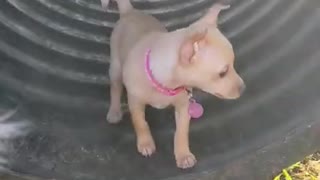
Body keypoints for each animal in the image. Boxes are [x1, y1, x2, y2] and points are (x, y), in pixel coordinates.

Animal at [102, 0, 245, 169]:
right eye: (223, 73)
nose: (243, 88)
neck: (165, 85)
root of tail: (129, 11)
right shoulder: (135, 103)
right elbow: (140, 123)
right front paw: (145, 143)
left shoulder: (184, 107)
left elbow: (181, 132)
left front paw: (183, 155)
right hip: (116, 67)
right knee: (115, 87)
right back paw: (114, 111)